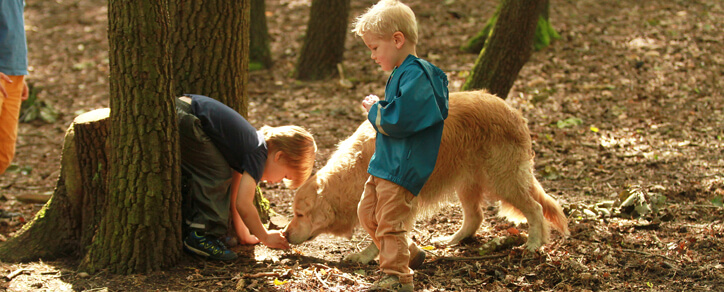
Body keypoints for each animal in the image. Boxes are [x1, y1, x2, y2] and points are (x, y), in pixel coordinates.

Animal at [284, 89, 572, 264]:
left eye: (300, 214)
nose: (285, 235)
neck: (358, 167)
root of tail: (513, 111)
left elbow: (381, 233)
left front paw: (365, 256)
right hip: (467, 182)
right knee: (475, 217)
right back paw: (451, 240)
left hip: (503, 178)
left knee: (535, 208)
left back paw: (534, 243)